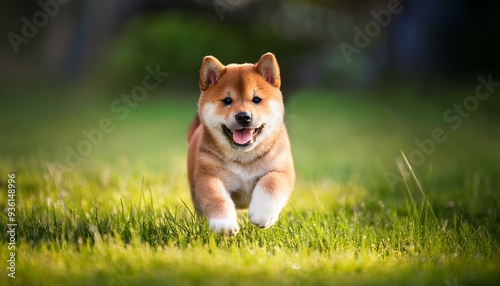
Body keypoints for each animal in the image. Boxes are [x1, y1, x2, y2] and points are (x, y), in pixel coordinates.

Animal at [188, 52, 294, 236]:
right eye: (227, 100)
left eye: (256, 99)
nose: (244, 116)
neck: (244, 159)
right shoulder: (209, 176)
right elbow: (216, 198)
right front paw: (223, 223)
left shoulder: (281, 169)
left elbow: (271, 183)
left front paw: (262, 214)